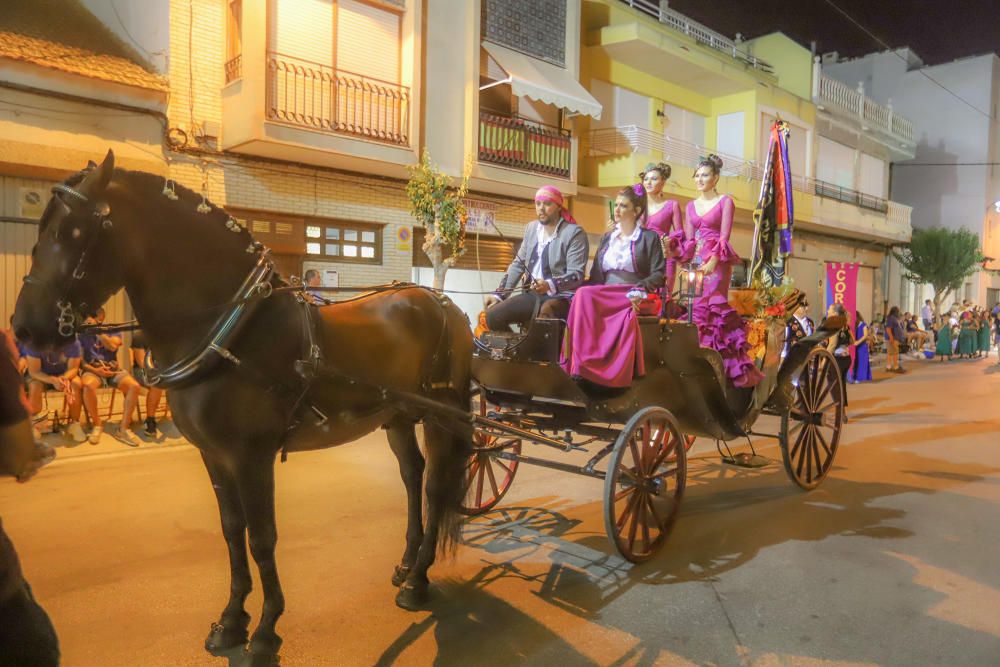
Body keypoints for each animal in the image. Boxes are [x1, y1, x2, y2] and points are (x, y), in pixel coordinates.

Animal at [11, 153, 472, 667]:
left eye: (72, 231)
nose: (24, 326)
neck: (230, 331)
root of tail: (440, 301)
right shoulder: (215, 455)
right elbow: (233, 532)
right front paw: (232, 620)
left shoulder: (253, 456)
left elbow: (262, 537)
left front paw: (267, 631)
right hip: (397, 417)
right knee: (412, 477)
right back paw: (407, 564)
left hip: (442, 414)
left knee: (435, 487)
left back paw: (418, 579)